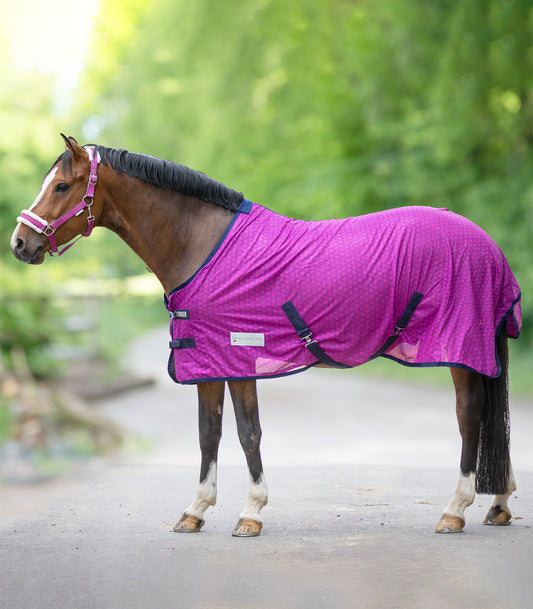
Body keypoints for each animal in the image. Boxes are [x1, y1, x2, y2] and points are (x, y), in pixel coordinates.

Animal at [11, 135, 520, 536]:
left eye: (61, 186)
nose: (19, 243)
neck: (202, 247)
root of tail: (488, 244)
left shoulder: (239, 358)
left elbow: (247, 433)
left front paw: (251, 513)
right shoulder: (208, 361)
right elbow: (209, 433)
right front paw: (195, 511)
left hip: (457, 349)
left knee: (469, 415)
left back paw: (455, 510)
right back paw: (498, 505)